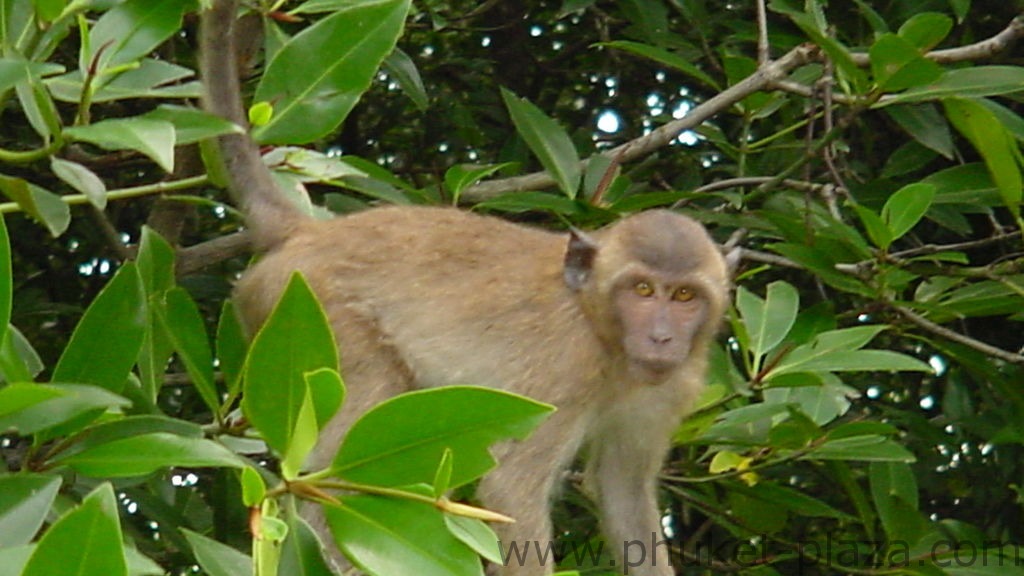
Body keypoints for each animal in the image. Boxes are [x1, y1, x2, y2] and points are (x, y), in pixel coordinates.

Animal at [199, 2, 729, 569]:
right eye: (642, 290)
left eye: (684, 296)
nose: (661, 337)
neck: (603, 333)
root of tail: (311, 232)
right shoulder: (566, 369)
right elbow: (510, 491)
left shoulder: (669, 387)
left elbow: (622, 491)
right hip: (311, 312)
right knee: (352, 454)